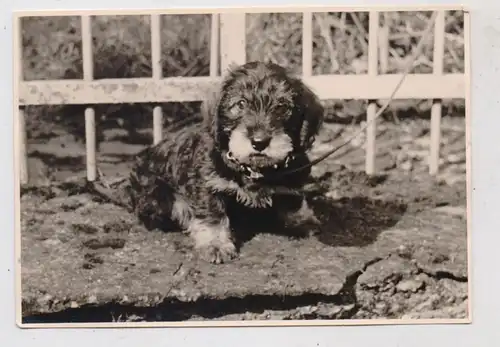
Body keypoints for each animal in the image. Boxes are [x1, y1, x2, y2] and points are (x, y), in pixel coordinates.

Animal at [127, 61, 326, 264]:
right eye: (241, 103)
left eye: (282, 106)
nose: (259, 142)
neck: (253, 169)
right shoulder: (207, 183)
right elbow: (213, 214)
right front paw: (215, 244)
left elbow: (292, 196)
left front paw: (302, 220)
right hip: (155, 195)